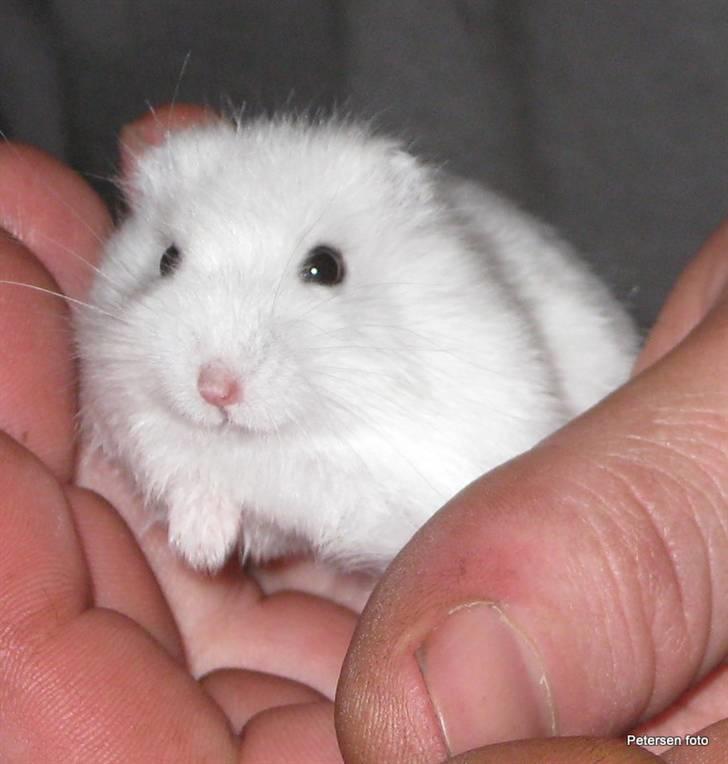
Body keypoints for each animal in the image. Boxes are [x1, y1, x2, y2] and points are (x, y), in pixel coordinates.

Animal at [75, 116, 638, 572]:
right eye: (167, 259)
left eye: (326, 267)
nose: (214, 389)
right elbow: (180, 463)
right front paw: (202, 549)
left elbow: (294, 484)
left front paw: (212, 545)